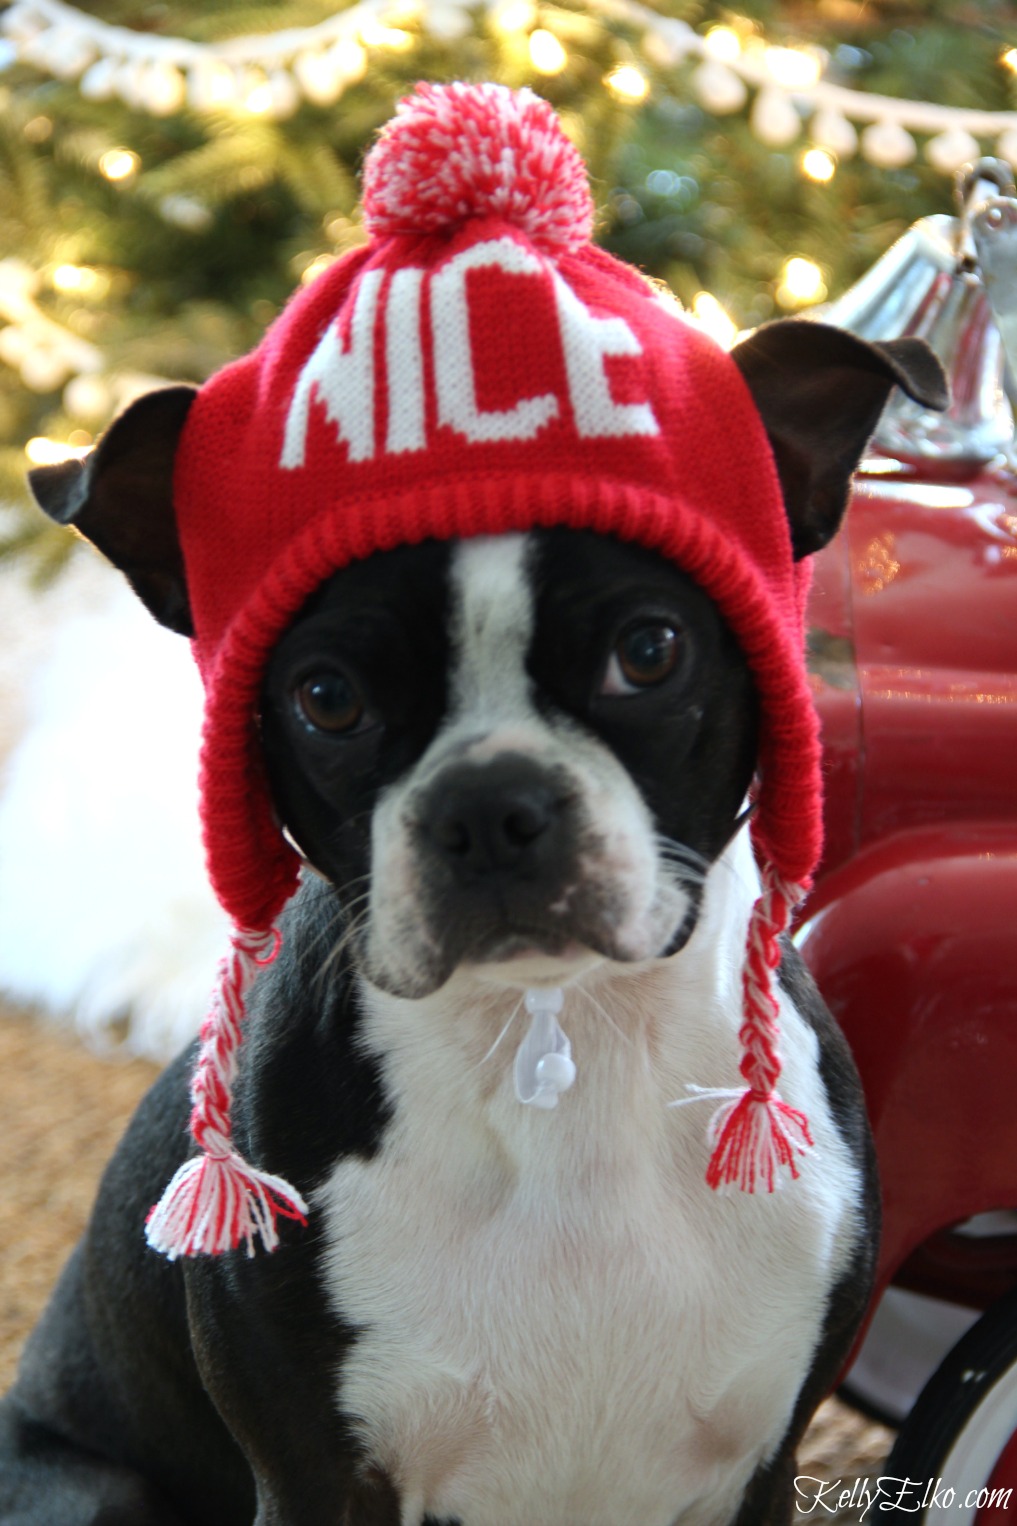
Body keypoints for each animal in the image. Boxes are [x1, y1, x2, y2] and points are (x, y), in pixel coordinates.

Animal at [0, 83, 940, 1526]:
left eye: (650, 651)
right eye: (326, 696)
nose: (492, 805)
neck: (561, 1046)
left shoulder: (761, 1467)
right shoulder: (317, 1479)